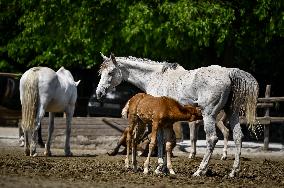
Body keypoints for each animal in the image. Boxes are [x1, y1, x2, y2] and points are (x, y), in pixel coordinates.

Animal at [96, 53, 258, 178]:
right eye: (100, 73)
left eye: (110, 72)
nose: (99, 93)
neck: (155, 77)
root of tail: (228, 73)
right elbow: (166, 141)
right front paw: (163, 168)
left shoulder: (157, 121)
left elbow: (159, 140)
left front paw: (159, 167)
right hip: (232, 113)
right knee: (237, 137)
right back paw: (233, 172)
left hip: (209, 115)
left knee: (212, 139)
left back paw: (200, 171)